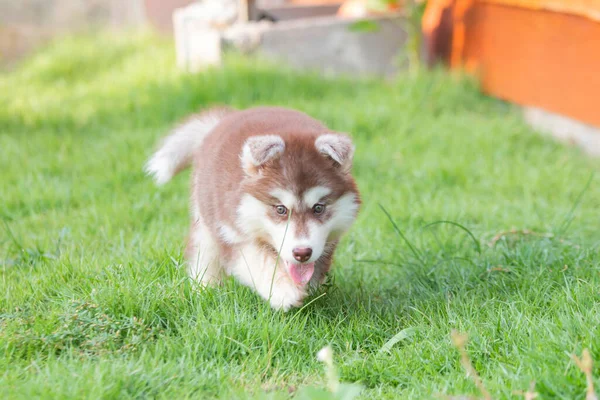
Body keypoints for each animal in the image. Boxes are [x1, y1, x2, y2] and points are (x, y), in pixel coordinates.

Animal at [146, 105, 360, 310]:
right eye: (280, 209)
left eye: (318, 208)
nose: (302, 253)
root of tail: (226, 118)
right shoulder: (230, 232)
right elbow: (257, 262)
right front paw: (283, 290)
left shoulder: (327, 243)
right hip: (206, 218)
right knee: (204, 255)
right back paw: (204, 290)